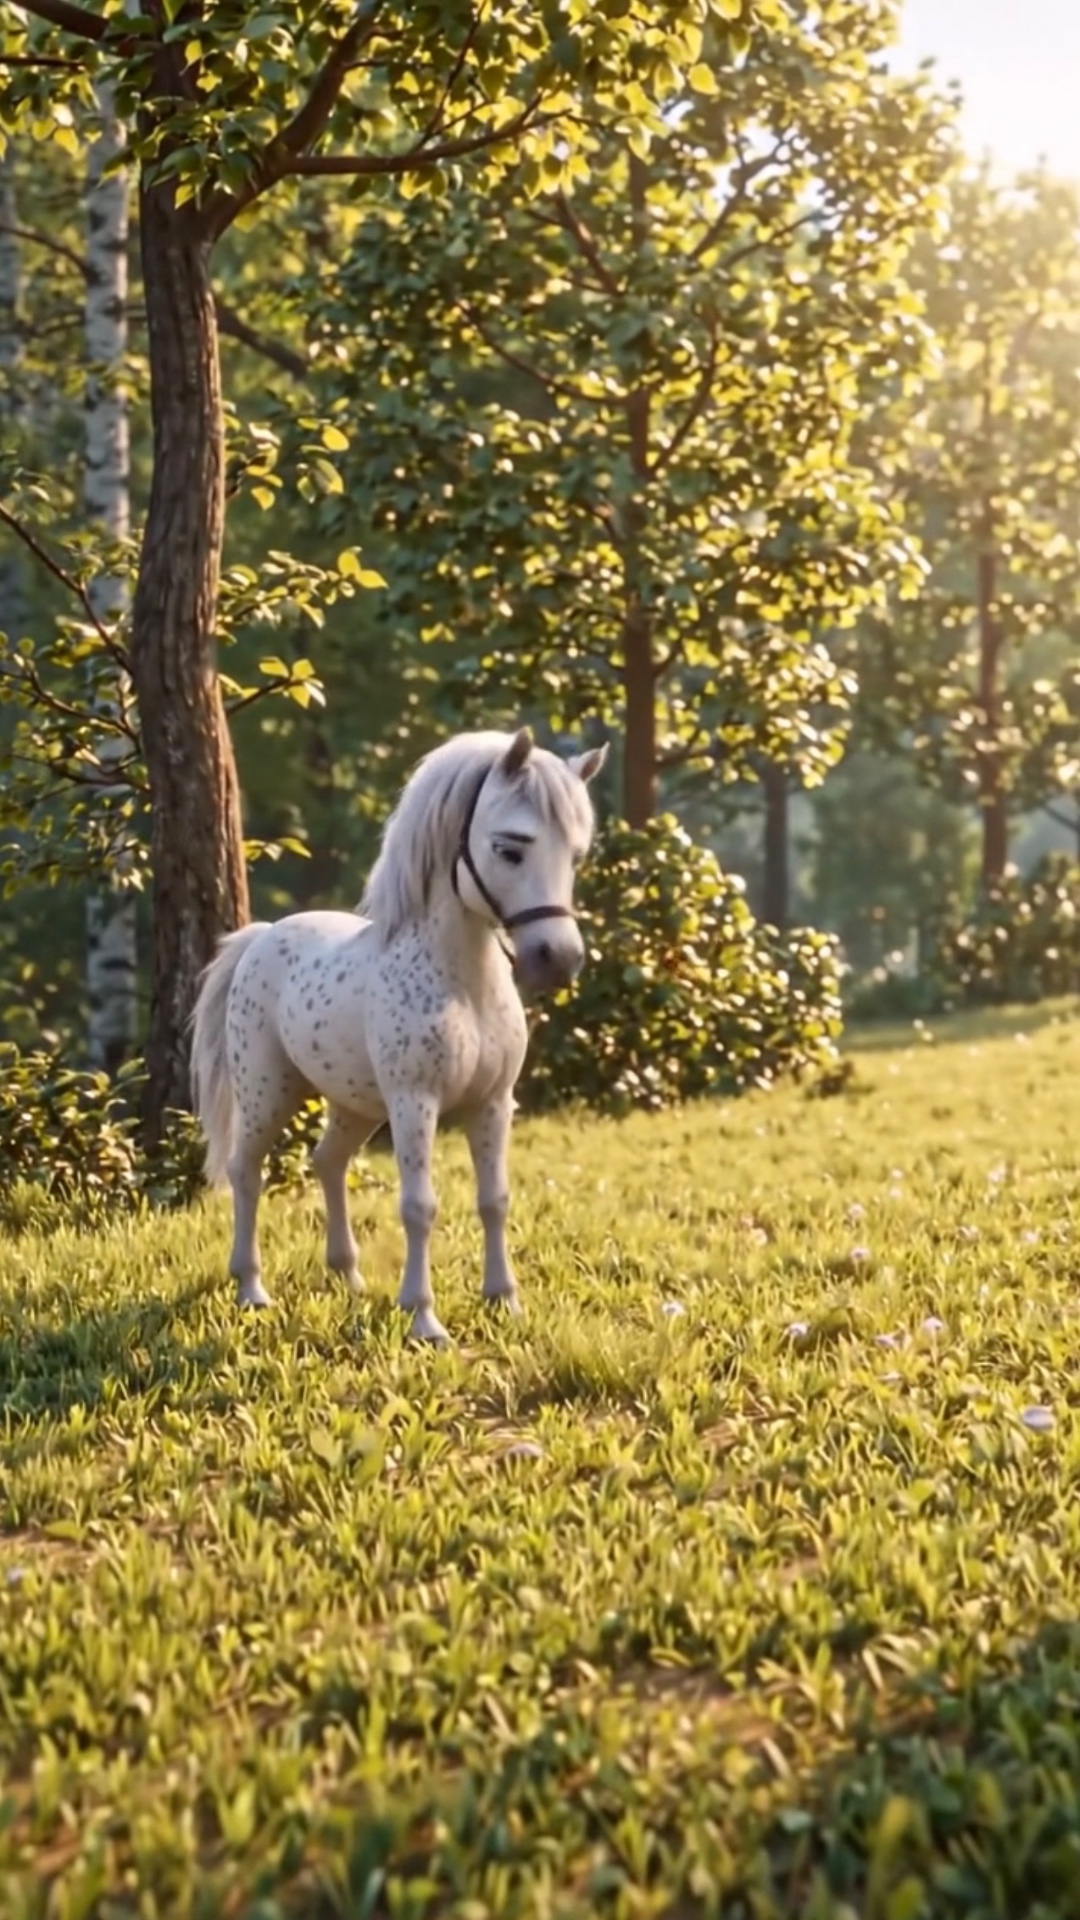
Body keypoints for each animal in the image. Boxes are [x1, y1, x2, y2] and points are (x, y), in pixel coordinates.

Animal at [190, 726, 607, 1342]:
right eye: (509, 848)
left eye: (576, 855)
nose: (557, 959)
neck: (463, 984)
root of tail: (262, 936)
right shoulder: (415, 1103)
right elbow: (419, 1206)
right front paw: (423, 1318)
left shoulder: (492, 1104)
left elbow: (495, 1200)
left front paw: (503, 1300)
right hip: (268, 1094)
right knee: (247, 1171)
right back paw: (251, 1288)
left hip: (354, 1106)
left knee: (328, 1161)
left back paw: (348, 1276)